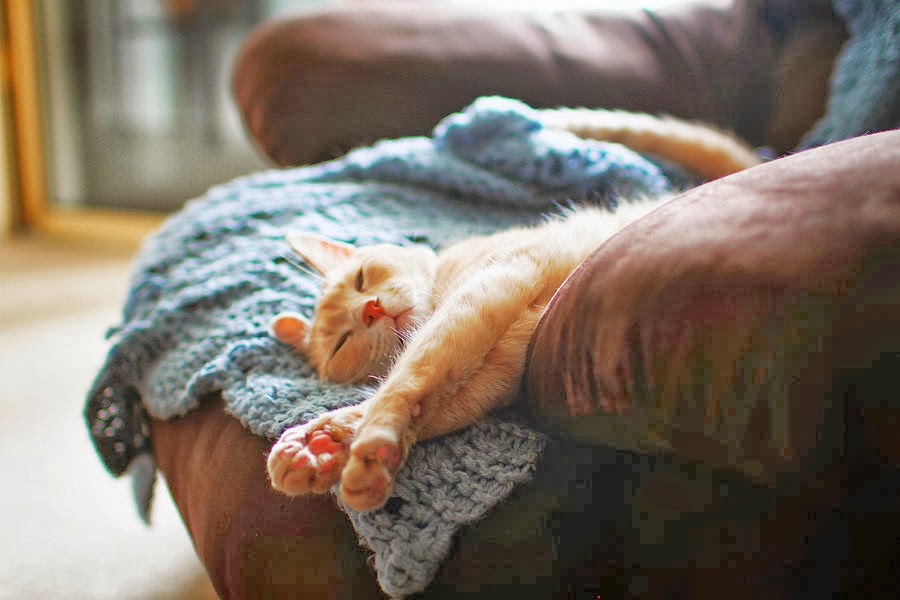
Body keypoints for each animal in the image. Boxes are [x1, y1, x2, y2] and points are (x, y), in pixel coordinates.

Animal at [266, 110, 761, 512]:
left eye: (362, 279)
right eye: (342, 342)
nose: (370, 310)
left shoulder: (485, 293)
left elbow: (405, 380)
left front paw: (365, 445)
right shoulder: (492, 377)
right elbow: (417, 400)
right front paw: (322, 444)